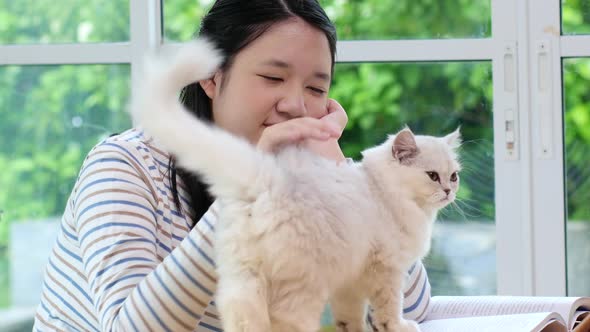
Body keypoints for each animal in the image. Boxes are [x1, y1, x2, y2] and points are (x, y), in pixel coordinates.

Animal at [132, 39, 464, 332]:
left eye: (454, 176)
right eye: (433, 176)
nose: (449, 191)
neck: (382, 189)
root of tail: (265, 175)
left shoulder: (350, 282)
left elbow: (350, 316)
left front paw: (352, 329)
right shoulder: (387, 270)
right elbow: (388, 309)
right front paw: (398, 326)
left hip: (244, 281)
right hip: (303, 286)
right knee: (286, 322)